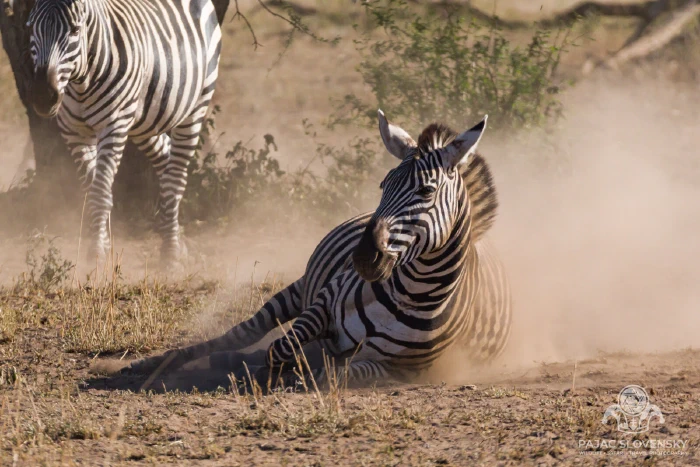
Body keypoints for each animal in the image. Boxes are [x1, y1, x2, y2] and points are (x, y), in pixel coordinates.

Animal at [26, 0, 221, 268]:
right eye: (32, 28)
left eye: (75, 30)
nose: (43, 97)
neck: (81, 82)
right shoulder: (74, 134)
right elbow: (94, 190)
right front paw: (103, 244)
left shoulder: (114, 127)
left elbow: (99, 192)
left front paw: (95, 255)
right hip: (144, 119)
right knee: (165, 158)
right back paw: (177, 241)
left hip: (196, 105)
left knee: (176, 178)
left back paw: (170, 254)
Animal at [125, 110, 512, 388]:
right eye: (383, 185)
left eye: (426, 191)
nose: (363, 257)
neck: (412, 294)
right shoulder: (322, 305)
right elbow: (281, 348)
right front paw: (267, 374)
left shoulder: (399, 369)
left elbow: (335, 373)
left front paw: (301, 373)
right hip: (295, 291)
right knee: (239, 335)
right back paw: (159, 363)